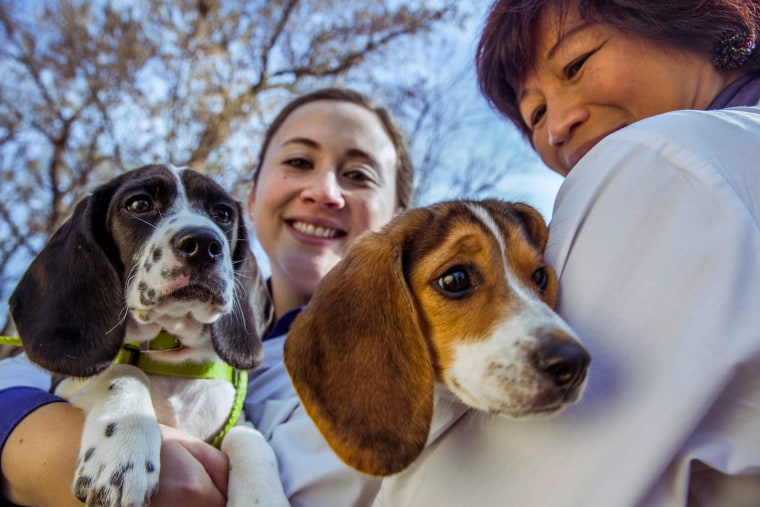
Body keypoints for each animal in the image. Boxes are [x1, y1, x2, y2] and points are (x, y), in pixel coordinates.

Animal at [8, 165, 288, 507]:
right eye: (139, 204)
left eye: (222, 213)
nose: (203, 244)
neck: (169, 354)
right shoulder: (65, 384)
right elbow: (124, 370)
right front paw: (124, 451)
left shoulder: (235, 420)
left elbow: (249, 436)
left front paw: (262, 495)